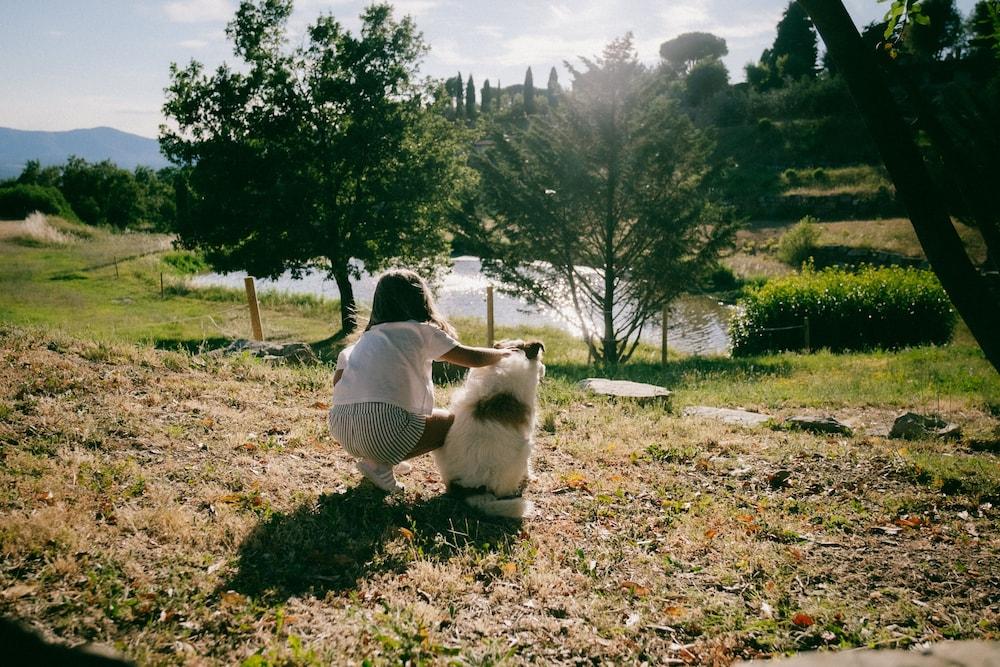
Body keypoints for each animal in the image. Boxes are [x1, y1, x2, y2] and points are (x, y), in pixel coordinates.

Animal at [432, 342, 544, 520]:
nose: (544, 369)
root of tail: (469, 490)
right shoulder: (529, 434)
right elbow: (528, 466)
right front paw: (531, 477)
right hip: (523, 450)